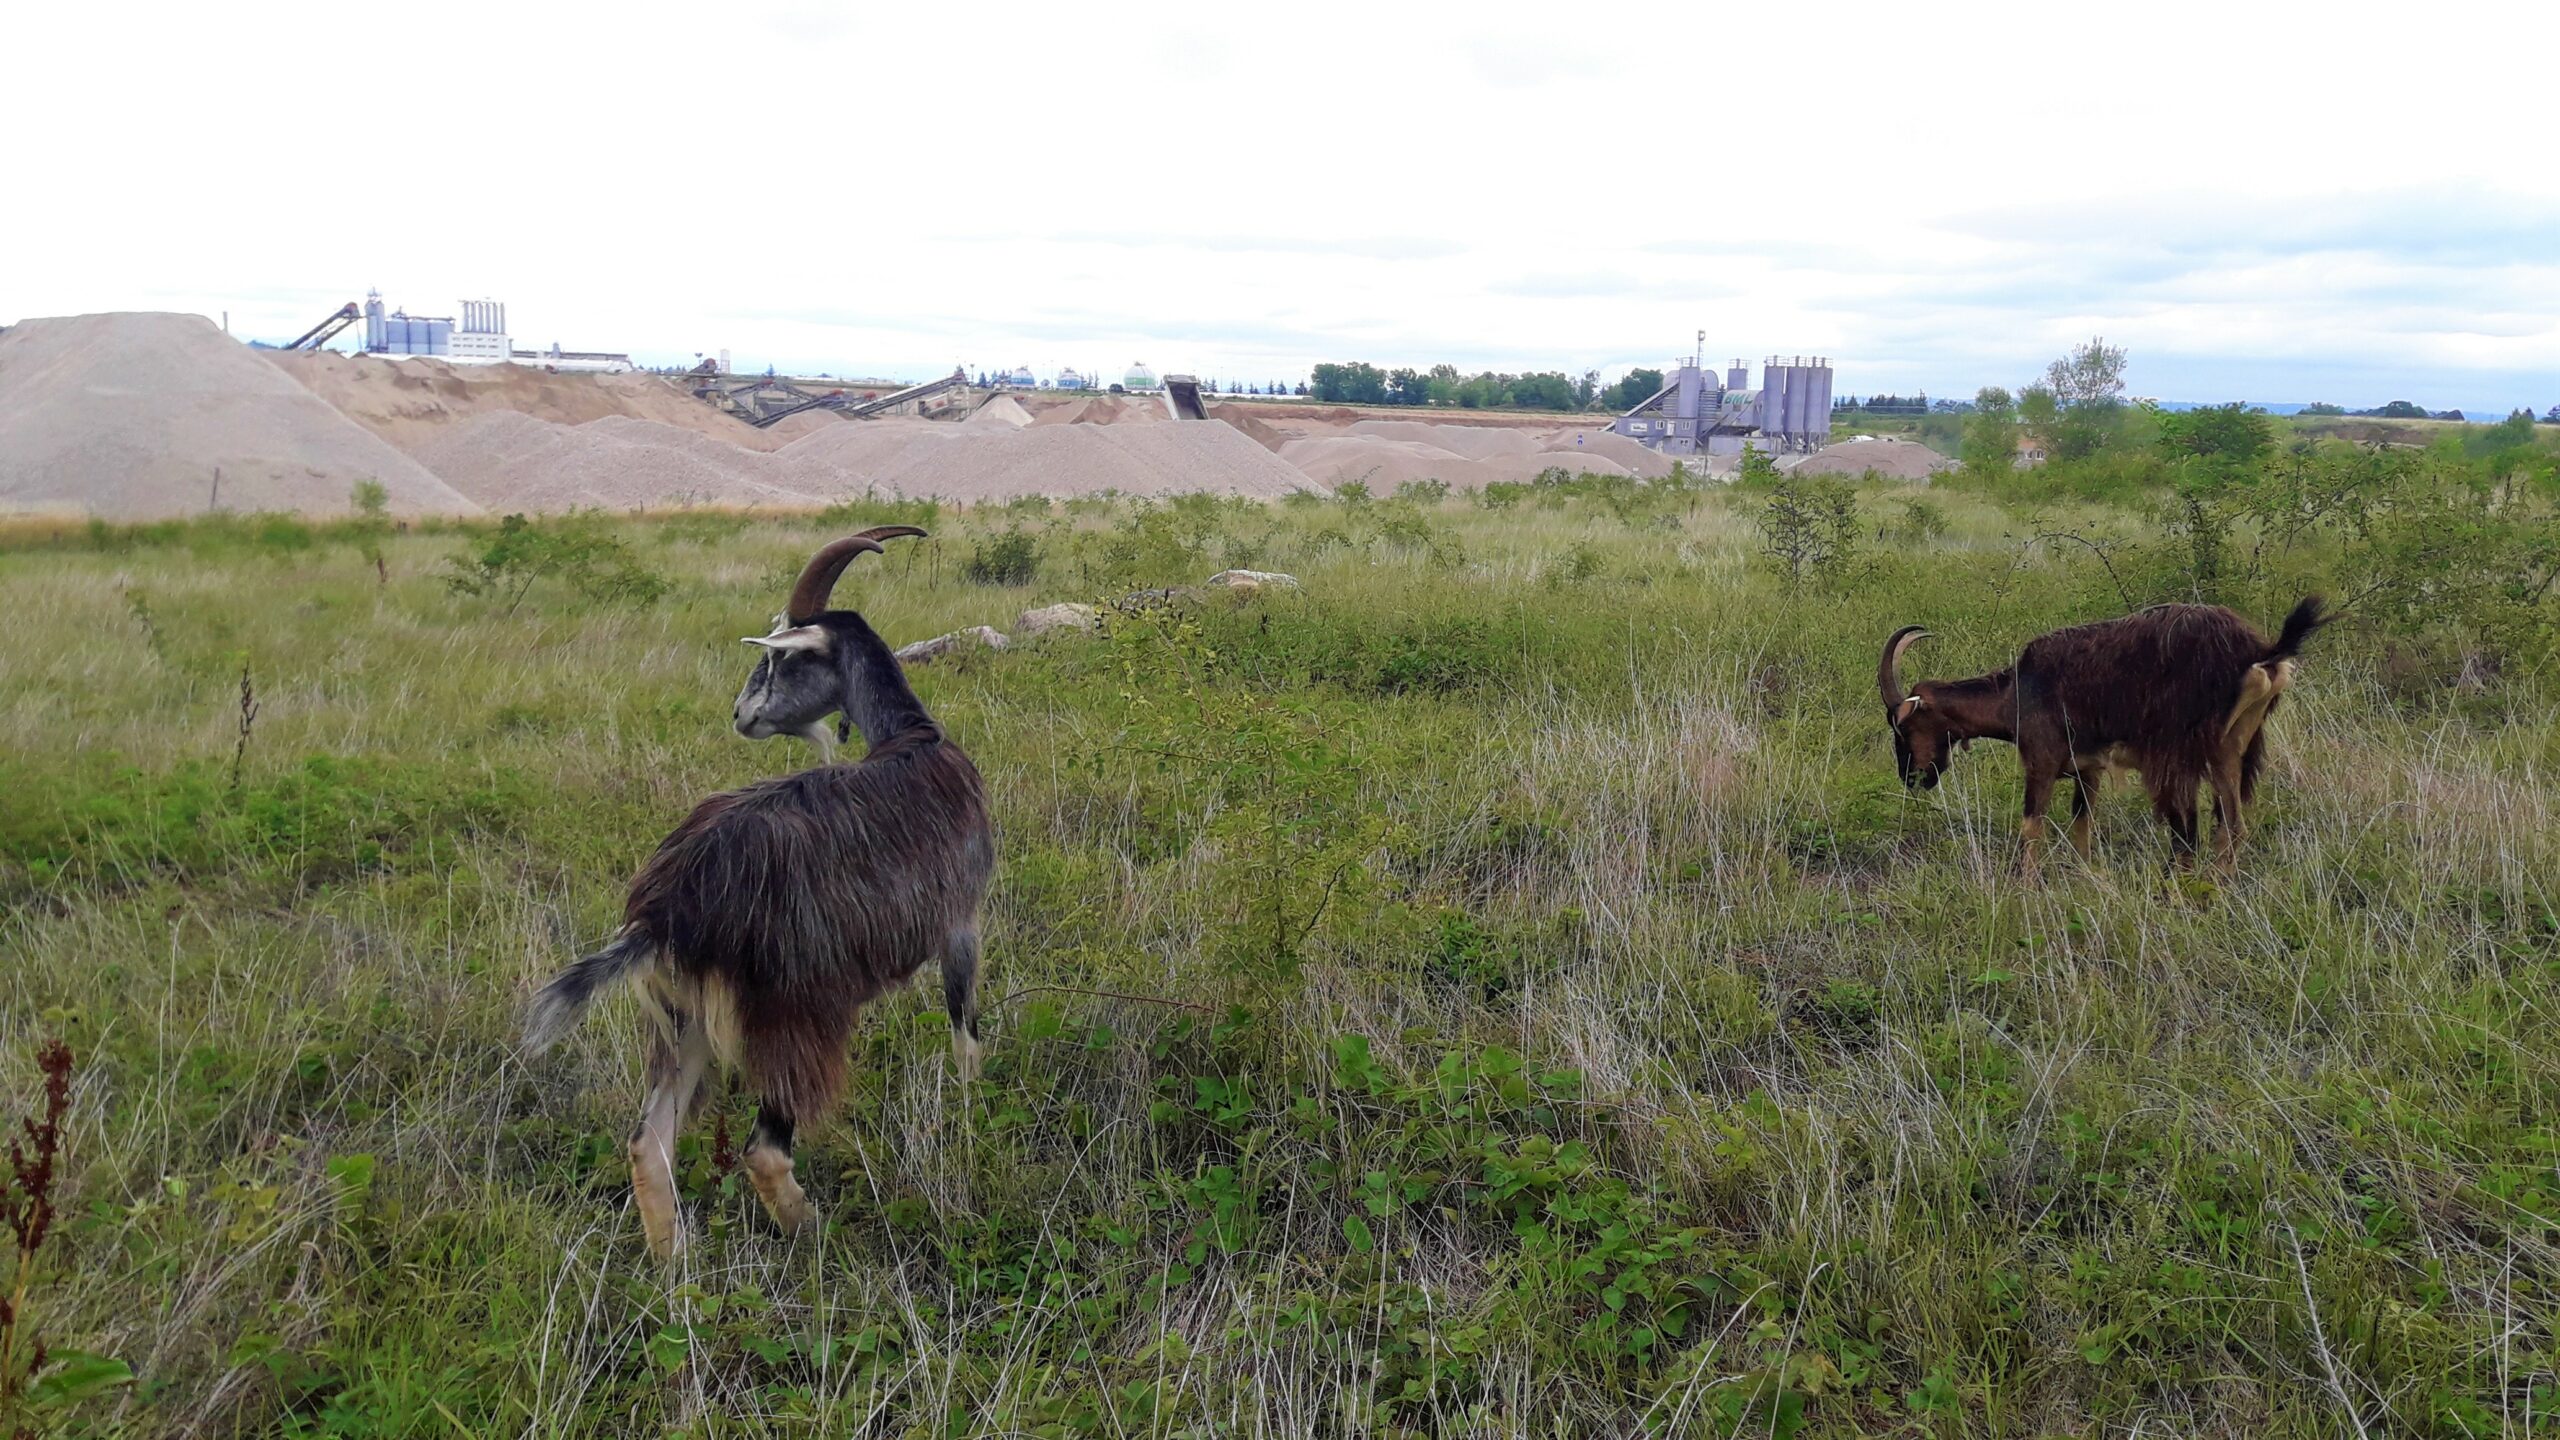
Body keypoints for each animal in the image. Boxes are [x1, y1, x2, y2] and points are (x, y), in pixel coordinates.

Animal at [524, 530, 993, 1255]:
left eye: (778, 660)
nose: (740, 714)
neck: (912, 738)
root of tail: (668, 910)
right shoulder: (963, 921)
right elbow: (965, 1031)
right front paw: (974, 1125)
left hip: (683, 1020)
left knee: (648, 1141)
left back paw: (675, 1268)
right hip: (792, 1016)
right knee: (763, 1150)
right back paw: (819, 1237)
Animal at [1873, 594, 2334, 876]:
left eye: (1903, 725)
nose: (1912, 777)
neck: (2018, 691)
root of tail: (2259, 652)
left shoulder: (2041, 759)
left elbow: (2031, 826)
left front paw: (2023, 886)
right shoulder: (2086, 769)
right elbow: (2082, 825)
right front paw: (2083, 876)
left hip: (2181, 754)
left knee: (2190, 830)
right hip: (2232, 751)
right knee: (2228, 824)